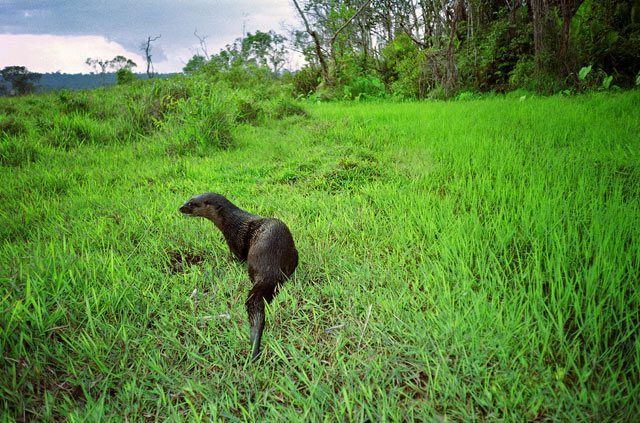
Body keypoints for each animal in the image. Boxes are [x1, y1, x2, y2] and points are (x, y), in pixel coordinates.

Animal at [179, 194, 298, 360]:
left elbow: (237, 257)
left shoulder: (235, 242)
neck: (231, 223)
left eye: (192, 203)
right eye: (188, 199)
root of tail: (270, 269)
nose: (180, 208)